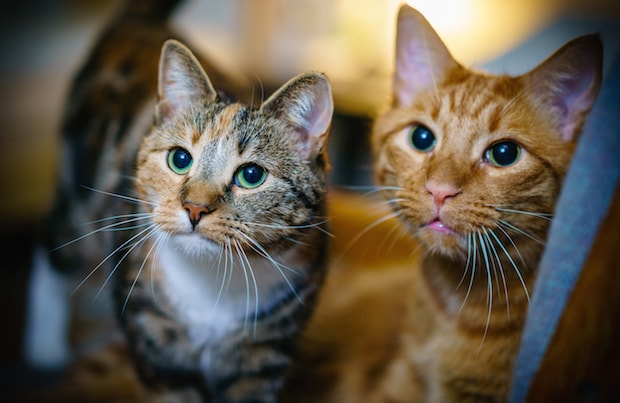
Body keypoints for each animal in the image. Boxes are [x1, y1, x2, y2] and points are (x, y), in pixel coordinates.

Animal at [25, 1, 334, 402]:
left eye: (251, 175)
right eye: (179, 159)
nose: (195, 207)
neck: (212, 285)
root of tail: (138, 22)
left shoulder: (263, 353)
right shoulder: (155, 341)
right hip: (80, 187)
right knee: (57, 249)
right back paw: (46, 347)